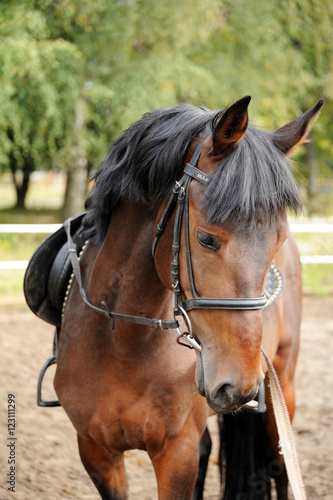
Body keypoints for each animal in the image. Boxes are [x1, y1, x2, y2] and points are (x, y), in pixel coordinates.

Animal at [53, 95, 320, 498]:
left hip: (282, 388)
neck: (123, 341)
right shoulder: (96, 451)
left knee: (281, 468)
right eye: (206, 238)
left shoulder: (176, 453)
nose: (240, 384)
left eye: (279, 240)